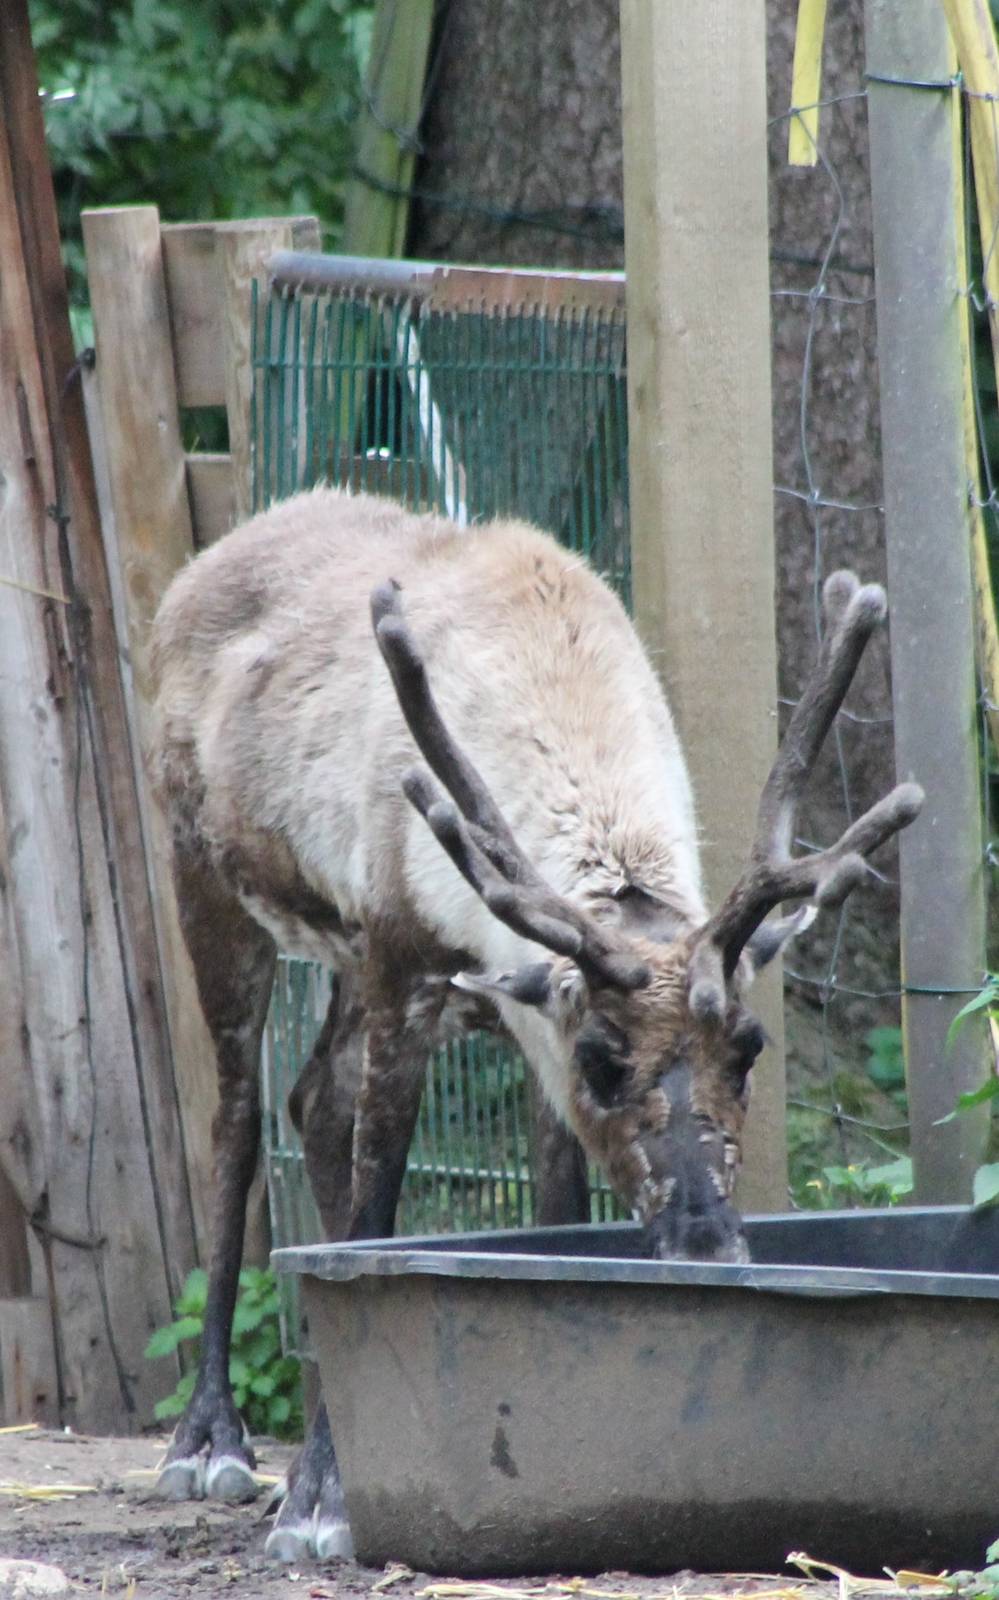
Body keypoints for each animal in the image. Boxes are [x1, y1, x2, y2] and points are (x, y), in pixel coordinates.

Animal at [147, 484, 922, 1560]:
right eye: (601, 1058)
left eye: (750, 1049)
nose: (707, 1247)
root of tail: (200, 567)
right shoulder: (402, 966)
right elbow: (374, 1220)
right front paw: (319, 1504)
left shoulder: (508, 1017)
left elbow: (551, 1222)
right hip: (208, 881)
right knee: (234, 1125)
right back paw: (207, 1439)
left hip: (342, 960)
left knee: (309, 1100)